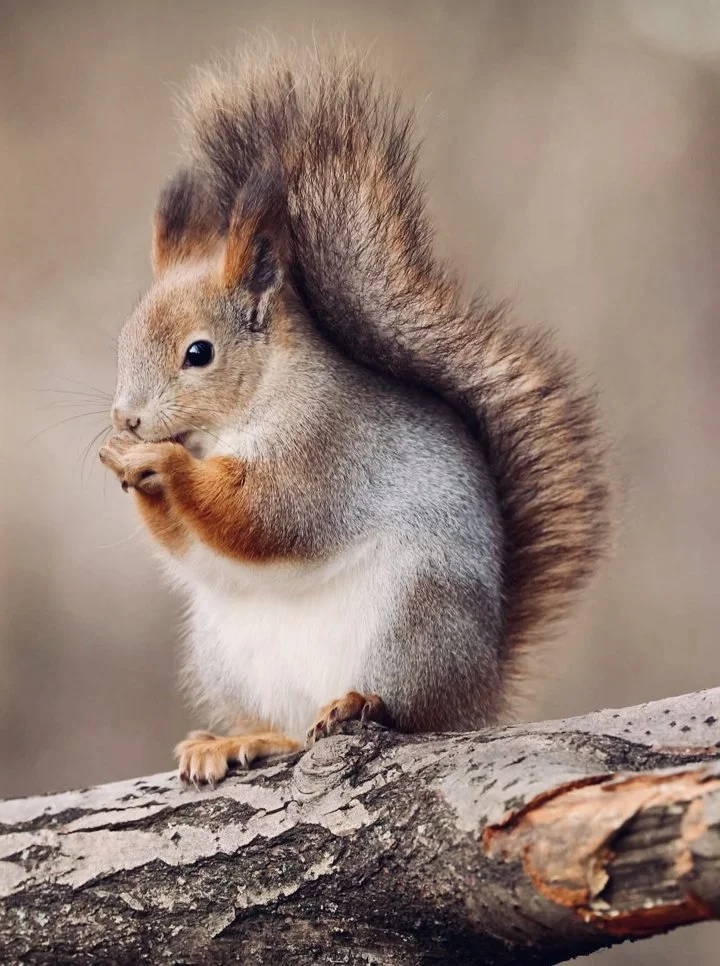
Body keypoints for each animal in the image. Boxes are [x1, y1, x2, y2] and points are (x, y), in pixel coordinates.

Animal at [99, 51, 611, 787]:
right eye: (123, 340)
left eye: (199, 353)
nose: (128, 418)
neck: (249, 406)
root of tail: (480, 690)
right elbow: (192, 545)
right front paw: (122, 460)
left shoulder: (325, 445)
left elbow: (266, 514)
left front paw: (160, 462)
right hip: (227, 655)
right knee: (287, 730)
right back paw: (237, 740)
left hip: (415, 616)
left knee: (413, 712)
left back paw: (360, 703)